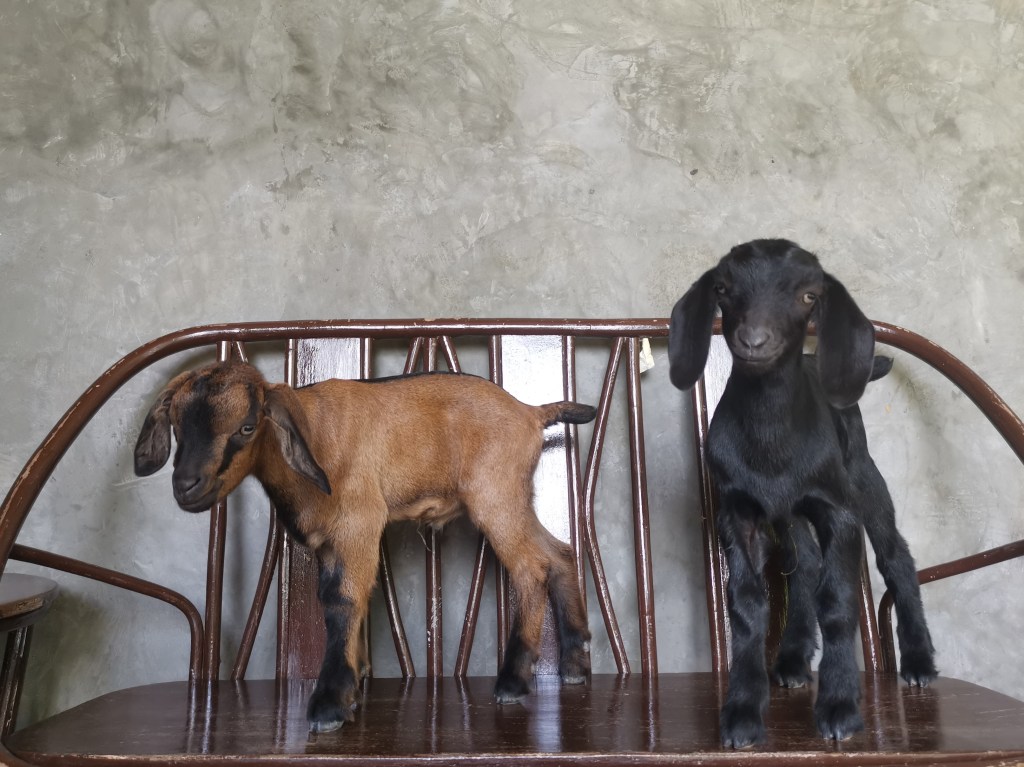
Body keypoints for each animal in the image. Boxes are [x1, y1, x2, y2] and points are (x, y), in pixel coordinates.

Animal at [133, 361, 594, 733]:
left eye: (247, 427)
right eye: (176, 425)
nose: (186, 486)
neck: (313, 434)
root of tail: (530, 413)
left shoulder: (359, 521)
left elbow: (342, 599)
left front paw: (329, 703)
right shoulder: (328, 541)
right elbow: (341, 599)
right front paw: (353, 686)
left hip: (495, 496)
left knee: (531, 567)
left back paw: (513, 681)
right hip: (514, 498)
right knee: (559, 553)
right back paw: (575, 661)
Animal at [668, 239, 937, 747]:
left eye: (809, 295)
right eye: (723, 288)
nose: (754, 341)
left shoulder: (838, 511)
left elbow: (838, 601)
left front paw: (840, 706)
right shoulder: (739, 514)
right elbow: (747, 606)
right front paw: (742, 712)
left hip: (863, 477)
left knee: (895, 555)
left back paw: (918, 660)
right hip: (786, 514)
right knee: (806, 562)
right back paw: (792, 658)